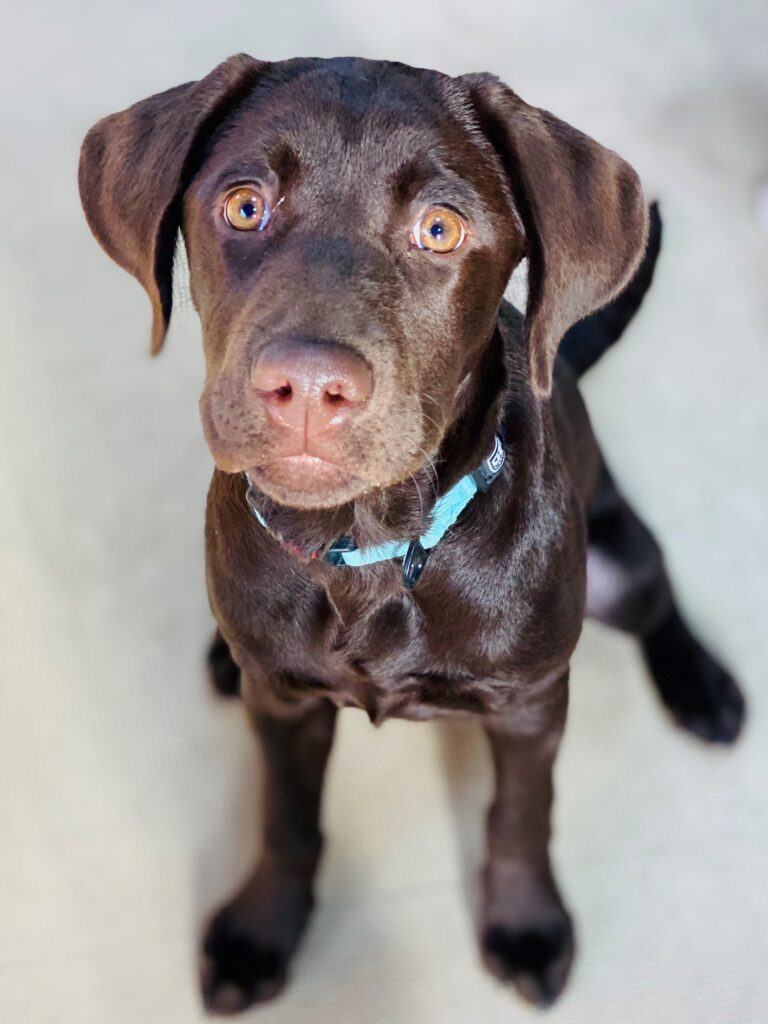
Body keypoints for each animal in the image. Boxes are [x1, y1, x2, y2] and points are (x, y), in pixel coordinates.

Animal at [79, 54, 745, 1014]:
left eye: (440, 228)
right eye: (243, 205)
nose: (306, 388)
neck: (375, 552)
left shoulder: (532, 704)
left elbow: (521, 817)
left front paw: (527, 923)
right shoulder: (282, 706)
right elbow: (286, 818)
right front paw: (262, 928)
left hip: (620, 561)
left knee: (657, 591)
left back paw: (702, 685)